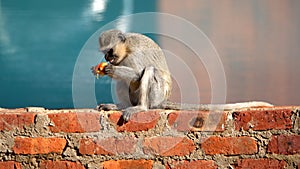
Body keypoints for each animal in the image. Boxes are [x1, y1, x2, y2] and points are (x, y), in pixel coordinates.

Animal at [93, 29, 272, 121]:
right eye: (104, 52)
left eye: (109, 51)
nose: (106, 58)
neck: (127, 49)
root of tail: (162, 100)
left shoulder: (134, 55)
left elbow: (137, 74)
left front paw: (111, 70)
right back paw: (121, 105)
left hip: (156, 96)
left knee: (149, 70)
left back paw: (141, 107)